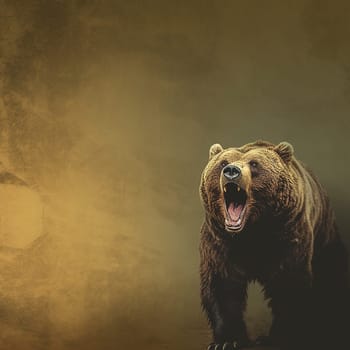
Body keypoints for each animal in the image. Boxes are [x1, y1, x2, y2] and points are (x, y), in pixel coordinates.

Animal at [198, 140, 348, 350]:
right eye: (223, 163)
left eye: (254, 164)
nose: (231, 171)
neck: (252, 232)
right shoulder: (220, 241)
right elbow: (223, 285)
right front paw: (227, 341)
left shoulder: (287, 236)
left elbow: (287, 284)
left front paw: (279, 337)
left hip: (325, 235)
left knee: (330, 274)